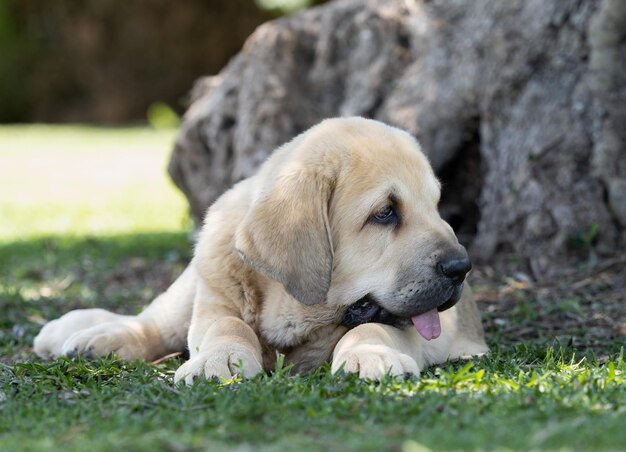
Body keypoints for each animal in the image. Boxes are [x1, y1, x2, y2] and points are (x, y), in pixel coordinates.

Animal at [34, 116, 486, 382]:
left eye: (435, 205)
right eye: (386, 213)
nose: (461, 268)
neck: (295, 311)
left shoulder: (409, 326)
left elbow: (373, 327)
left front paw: (370, 356)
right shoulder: (214, 306)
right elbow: (227, 326)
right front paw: (219, 360)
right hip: (192, 286)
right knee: (153, 323)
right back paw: (98, 336)